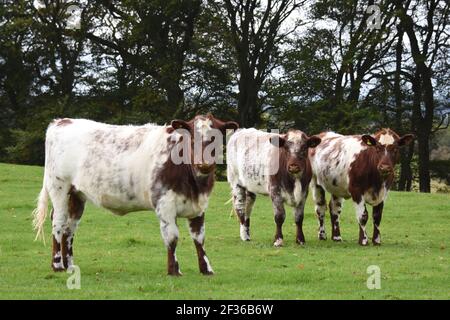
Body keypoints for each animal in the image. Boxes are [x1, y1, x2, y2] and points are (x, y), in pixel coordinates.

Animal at [31, 114, 239, 276]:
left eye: (216, 139)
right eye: (192, 140)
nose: (204, 164)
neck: (194, 183)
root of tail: (63, 121)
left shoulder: (199, 206)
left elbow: (199, 238)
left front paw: (206, 269)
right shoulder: (164, 203)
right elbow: (172, 237)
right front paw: (174, 270)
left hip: (77, 194)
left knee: (69, 227)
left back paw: (70, 265)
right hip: (59, 186)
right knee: (58, 222)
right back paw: (57, 264)